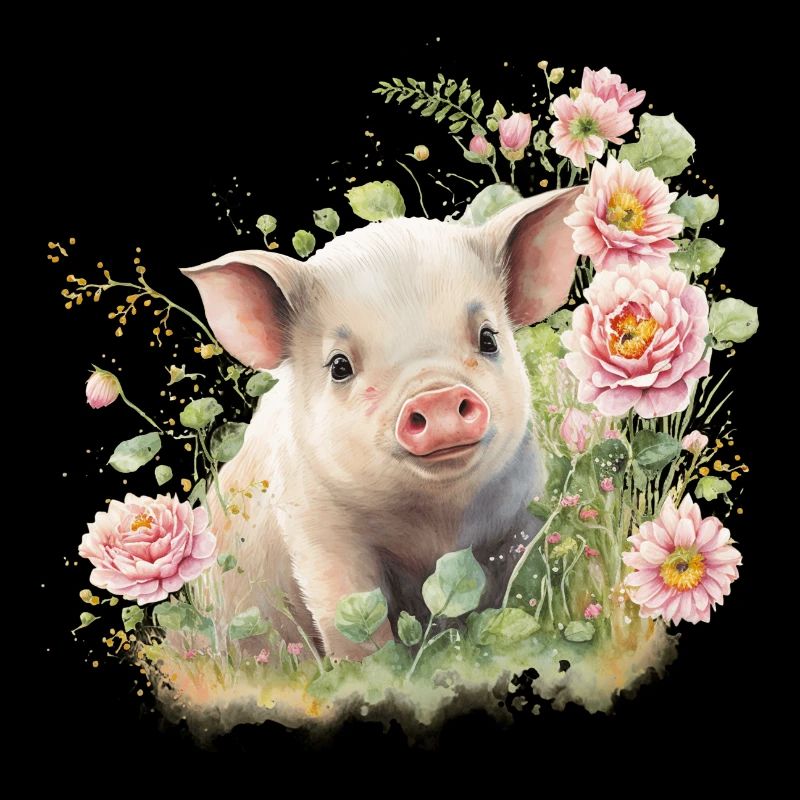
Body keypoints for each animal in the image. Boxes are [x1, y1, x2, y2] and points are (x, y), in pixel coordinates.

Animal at [183, 186, 581, 659]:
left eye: (488, 338)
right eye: (339, 366)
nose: (437, 394)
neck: (436, 524)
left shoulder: (524, 513)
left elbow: (523, 585)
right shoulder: (317, 532)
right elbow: (355, 622)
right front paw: (374, 668)